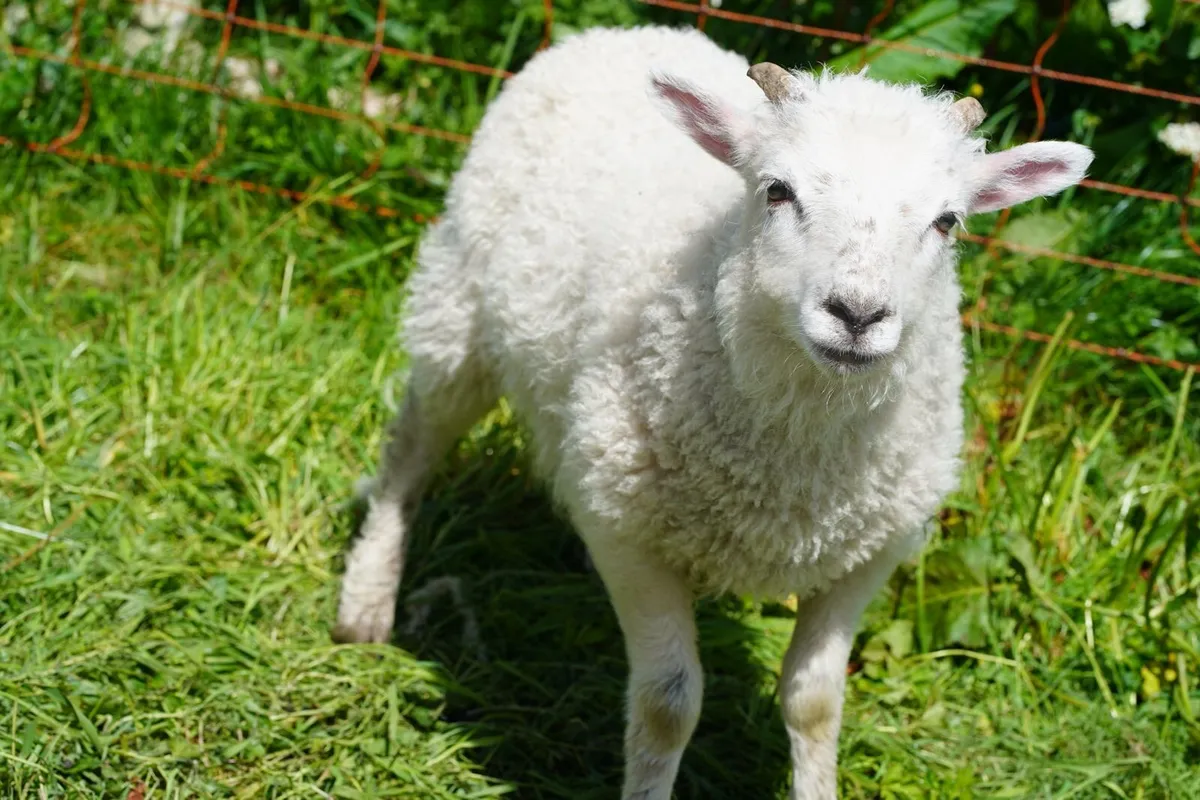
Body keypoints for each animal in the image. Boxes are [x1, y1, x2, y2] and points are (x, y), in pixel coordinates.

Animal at [330, 24, 1094, 800]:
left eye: (947, 221)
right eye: (777, 191)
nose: (857, 315)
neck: (791, 459)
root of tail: (621, 30)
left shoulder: (867, 553)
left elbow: (815, 704)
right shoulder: (628, 531)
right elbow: (667, 704)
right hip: (458, 311)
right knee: (412, 449)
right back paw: (366, 601)